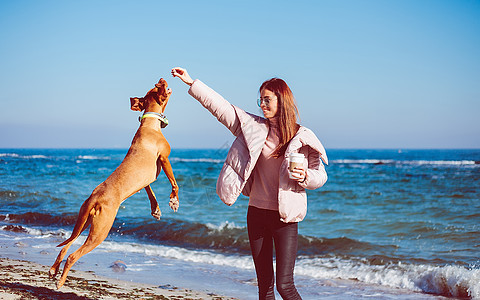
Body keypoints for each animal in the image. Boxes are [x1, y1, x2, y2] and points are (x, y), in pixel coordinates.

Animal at [49, 78, 179, 290]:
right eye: (158, 87)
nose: (161, 78)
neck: (149, 124)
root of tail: (94, 197)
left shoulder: (147, 179)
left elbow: (150, 191)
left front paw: (156, 209)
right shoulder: (164, 159)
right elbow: (174, 183)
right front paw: (174, 201)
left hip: (84, 222)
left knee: (65, 246)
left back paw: (53, 270)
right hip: (101, 231)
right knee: (73, 255)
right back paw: (61, 281)